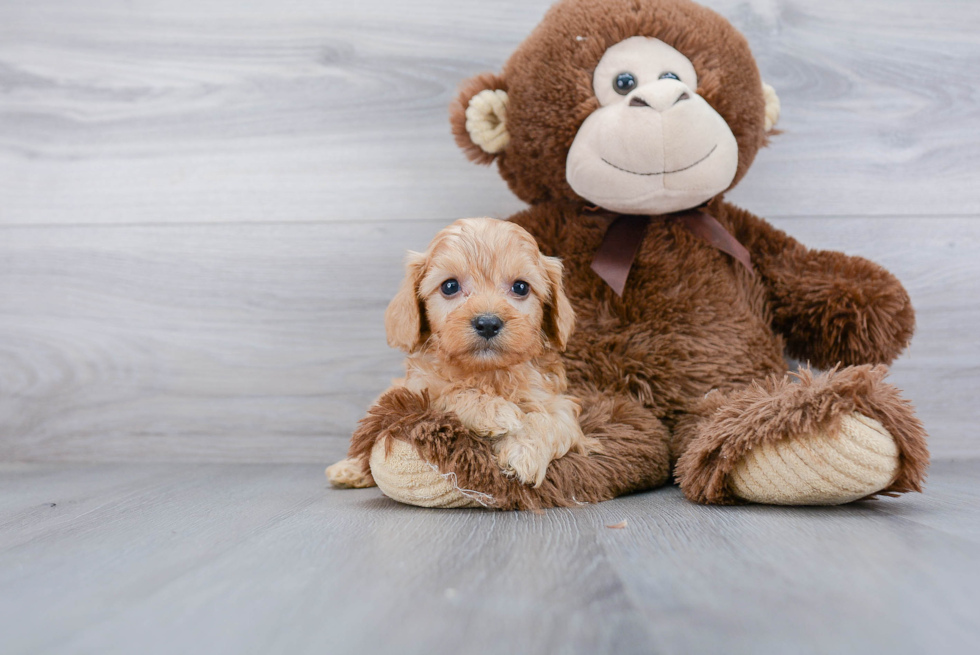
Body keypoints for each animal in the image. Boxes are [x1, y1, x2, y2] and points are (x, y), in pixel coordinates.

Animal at [330, 218, 588, 490]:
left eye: (520, 287)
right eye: (450, 286)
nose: (488, 323)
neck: (486, 373)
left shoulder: (558, 403)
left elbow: (551, 421)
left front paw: (524, 451)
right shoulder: (418, 394)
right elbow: (451, 392)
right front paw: (494, 411)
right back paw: (348, 469)